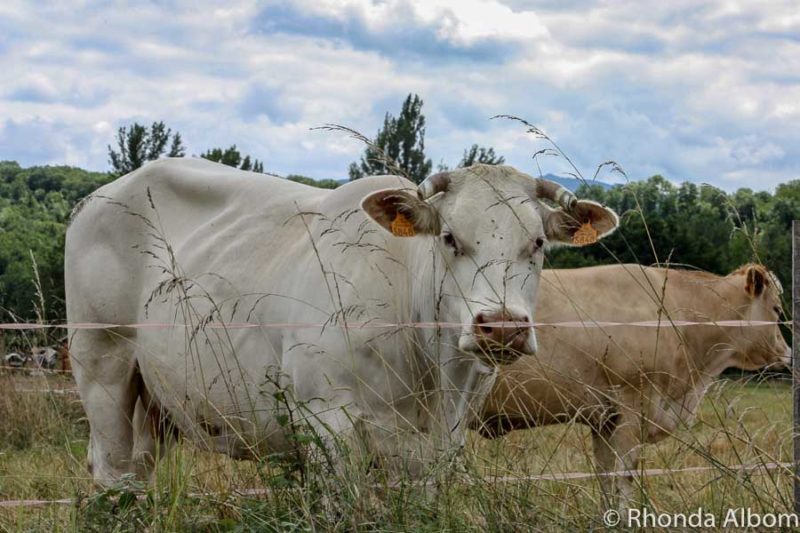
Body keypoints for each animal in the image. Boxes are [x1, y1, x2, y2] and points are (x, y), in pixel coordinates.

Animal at [69, 156, 620, 484]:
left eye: (538, 243)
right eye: (449, 238)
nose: (501, 325)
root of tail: (98, 197)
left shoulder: (439, 446)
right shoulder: (327, 426)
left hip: (157, 398)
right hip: (103, 368)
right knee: (113, 470)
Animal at [476, 264, 788, 502]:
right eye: (776, 309)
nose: (788, 351)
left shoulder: (603, 418)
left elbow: (605, 478)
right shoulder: (634, 402)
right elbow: (624, 478)